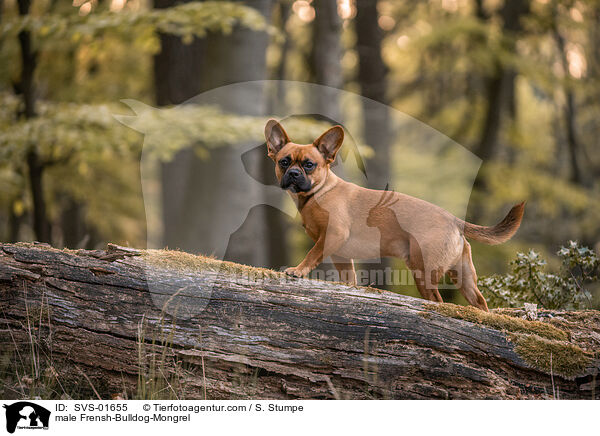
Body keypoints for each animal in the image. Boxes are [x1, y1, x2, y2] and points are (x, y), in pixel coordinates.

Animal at [264, 119, 524, 310]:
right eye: (284, 162)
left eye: (309, 165)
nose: (293, 173)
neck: (319, 192)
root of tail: (453, 220)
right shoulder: (341, 254)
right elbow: (348, 278)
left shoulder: (333, 235)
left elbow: (312, 254)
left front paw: (298, 270)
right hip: (463, 275)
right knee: (480, 304)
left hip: (424, 270)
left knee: (437, 301)